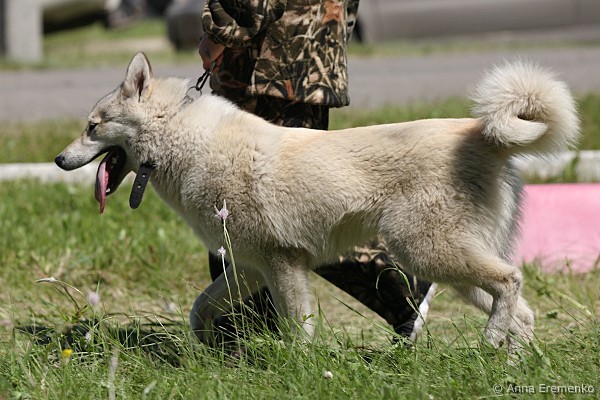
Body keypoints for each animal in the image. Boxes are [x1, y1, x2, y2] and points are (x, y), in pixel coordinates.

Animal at [56, 52, 579, 353]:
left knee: (511, 282)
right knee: (521, 311)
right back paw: (508, 365)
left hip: (426, 250)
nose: (60, 159)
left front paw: (300, 368)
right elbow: (199, 308)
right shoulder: (247, 267)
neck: (186, 141)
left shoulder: (282, 263)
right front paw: (201, 352)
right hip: (444, 261)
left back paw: (491, 342)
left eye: (92, 126)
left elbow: (298, 327)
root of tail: (483, 135)